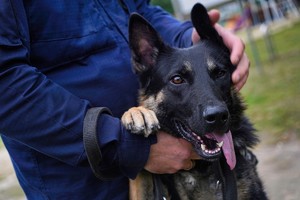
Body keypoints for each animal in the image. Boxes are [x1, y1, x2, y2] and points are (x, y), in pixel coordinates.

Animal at [122, 3, 268, 200]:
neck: (202, 167)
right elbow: (139, 174)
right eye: (177, 79)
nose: (218, 116)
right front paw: (136, 112)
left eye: (220, 73)